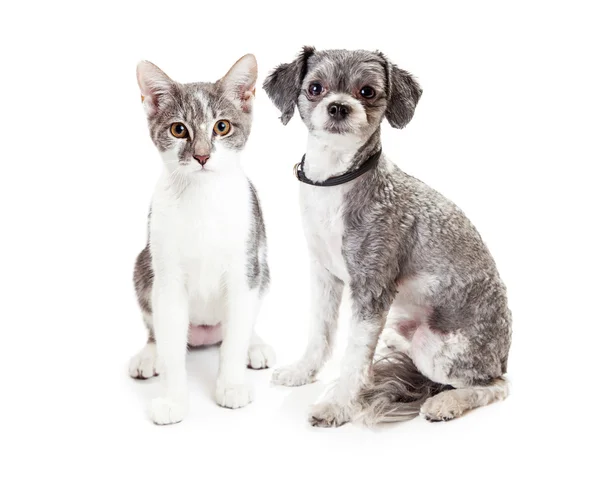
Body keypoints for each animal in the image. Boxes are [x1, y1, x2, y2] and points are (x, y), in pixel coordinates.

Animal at [130, 56, 276, 428]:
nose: (202, 156)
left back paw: (255, 344)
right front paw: (172, 399)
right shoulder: (167, 279)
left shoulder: (245, 266)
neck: (202, 198)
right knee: (155, 327)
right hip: (143, 265)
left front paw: (232, 385)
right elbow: (170, 345)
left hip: (263, 268)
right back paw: (149, 353)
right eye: (178, 130)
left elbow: (236, 334)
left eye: (221, 127)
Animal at [262, 46, 510, 428]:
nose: (338, 106)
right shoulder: (325, 275)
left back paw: (446, 403)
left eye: (367, 91)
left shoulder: (372, 287)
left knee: (494, 385)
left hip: (437, 349)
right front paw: (303, 371)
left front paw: (337, 406)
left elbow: (354, 356)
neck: (335, 180)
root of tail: (504, 354)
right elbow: (321, 331)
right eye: (315, 88)